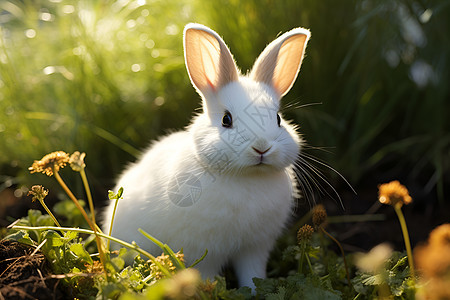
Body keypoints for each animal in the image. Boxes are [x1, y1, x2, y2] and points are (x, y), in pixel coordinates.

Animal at [102, 23, 312, 290]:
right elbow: (207, 273)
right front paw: (211, 289)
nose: (262, 148)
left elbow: (252, 273)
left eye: (277, 119)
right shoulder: (203, 249)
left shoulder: (254, 248)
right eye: (226, 120)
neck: (246, 177)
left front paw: (254, 291)